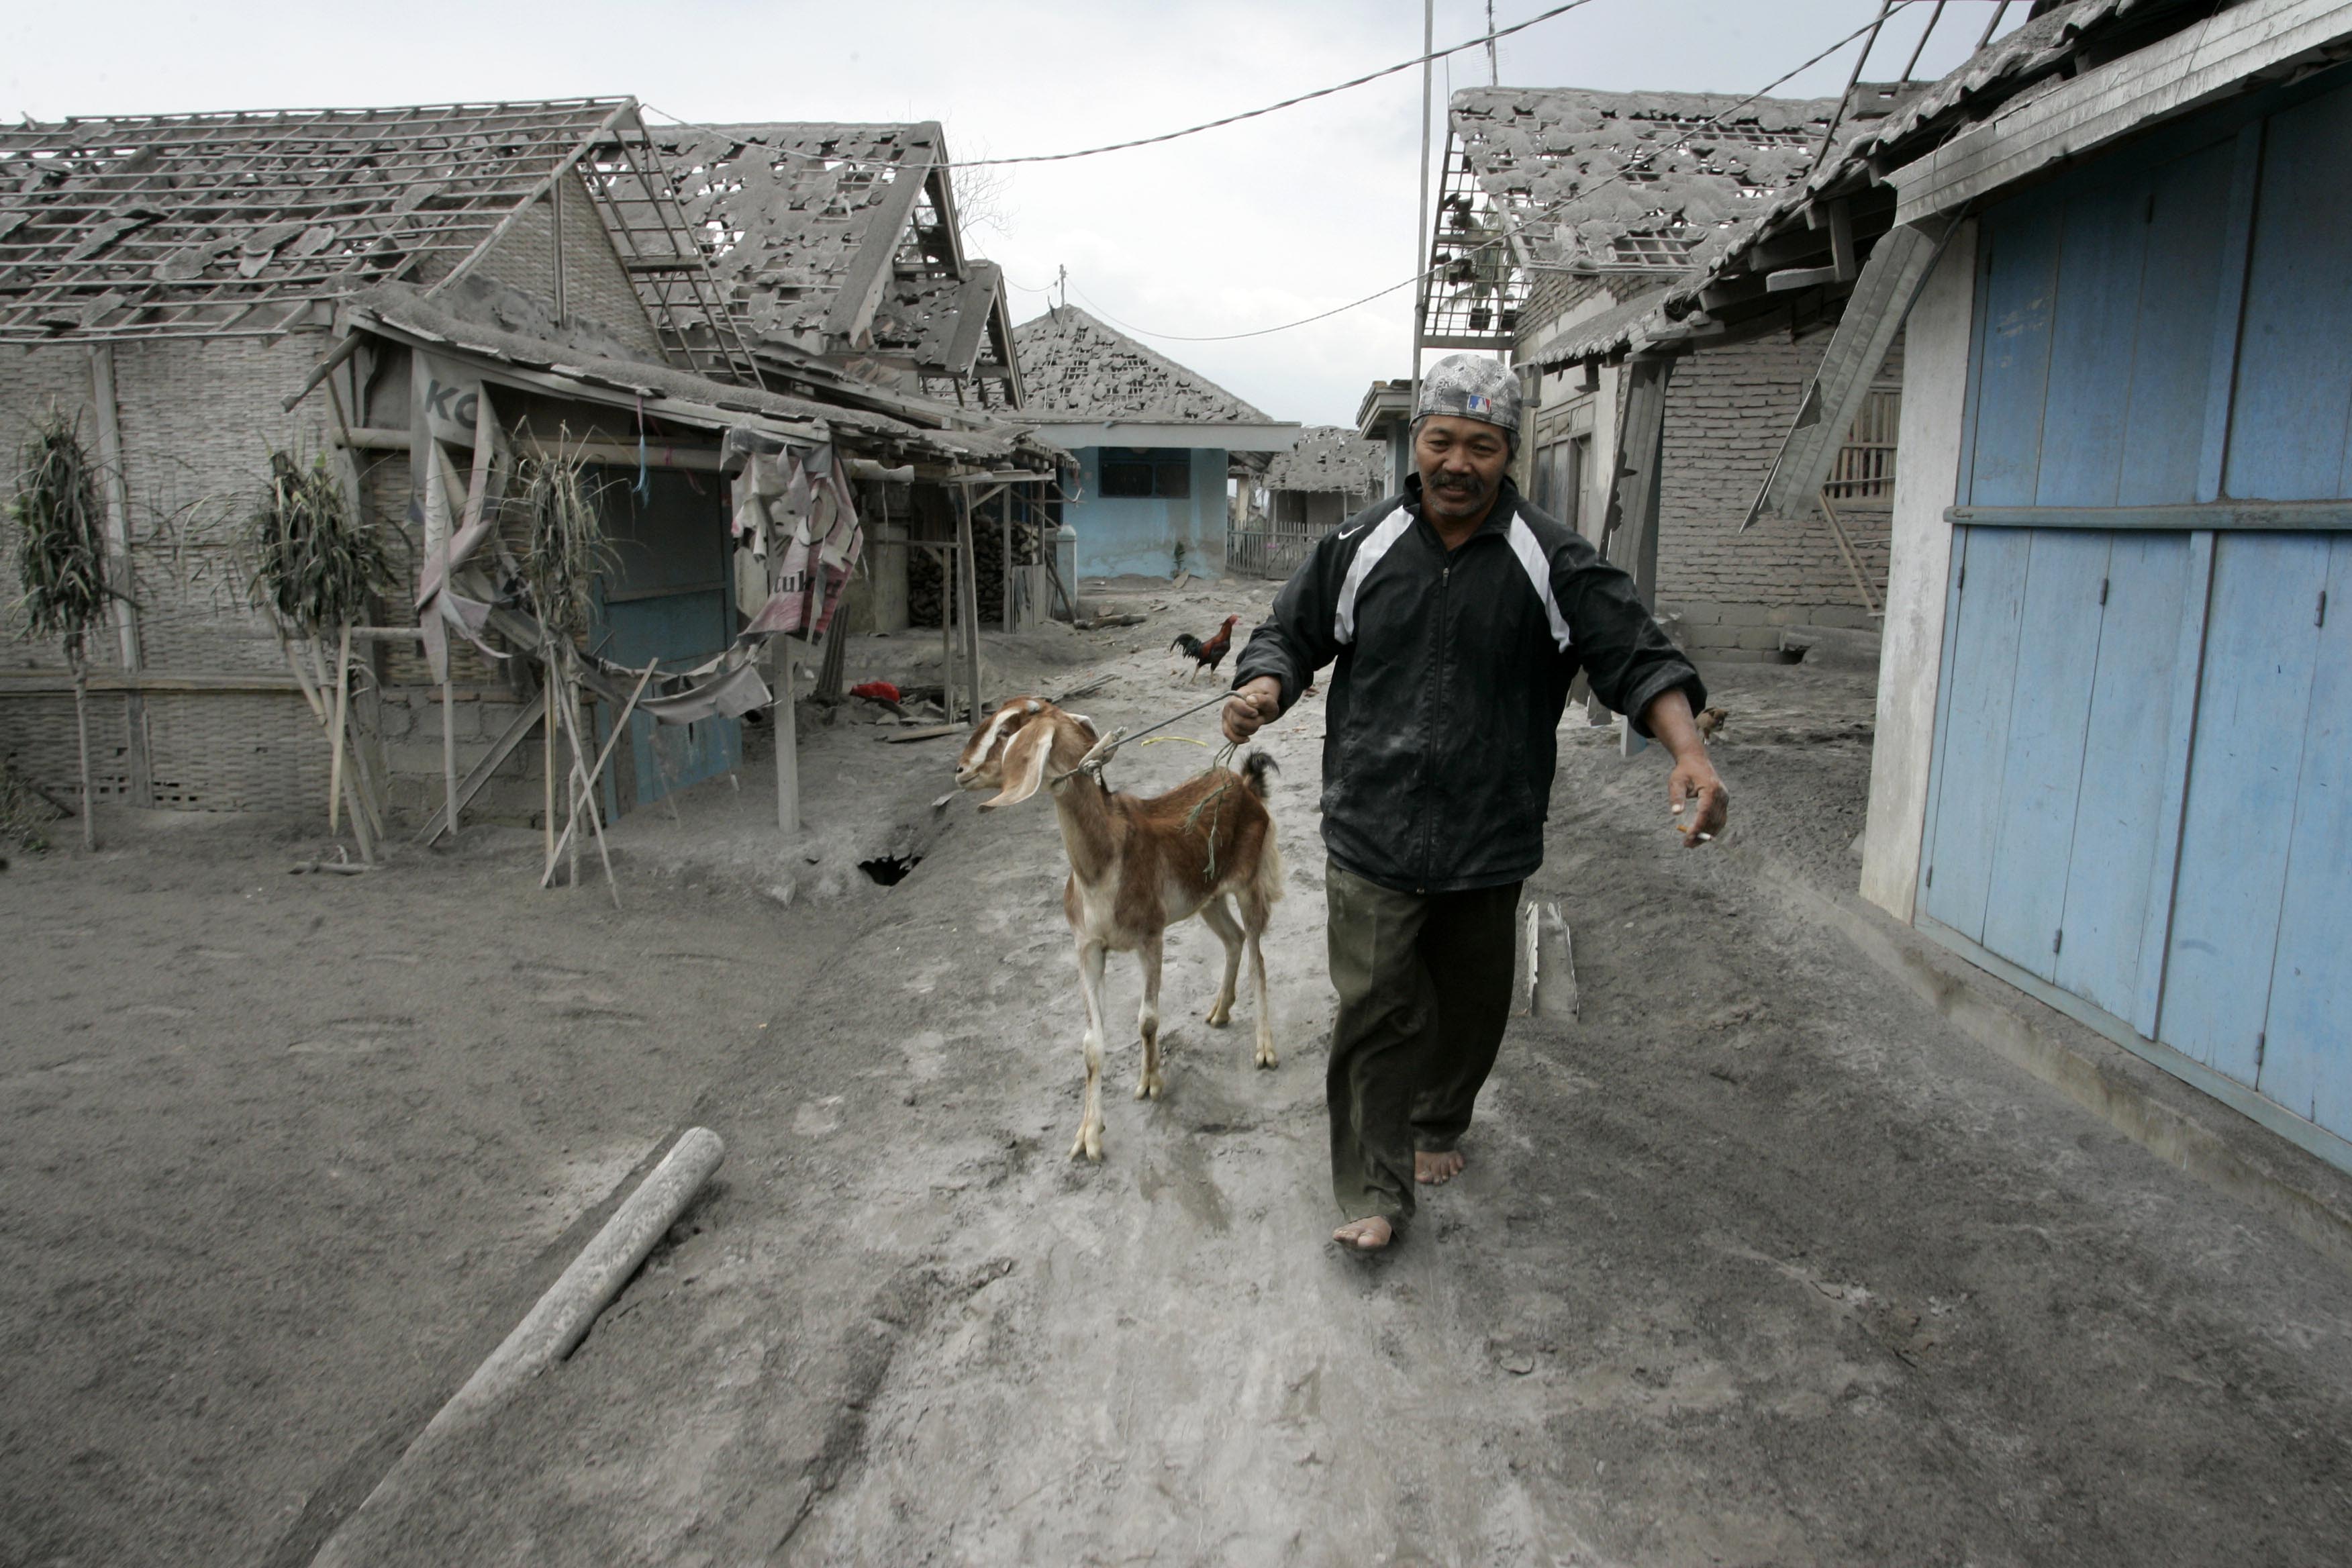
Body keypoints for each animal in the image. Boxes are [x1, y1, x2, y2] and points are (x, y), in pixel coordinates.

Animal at [950, 700, 1289, 1166]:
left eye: (1006, 730)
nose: (961, 770)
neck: (1102, 863)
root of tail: (1247, 785)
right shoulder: (1088, 947)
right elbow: (1092, 1043)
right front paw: (1088, 1136)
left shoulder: (1151, 937)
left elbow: (1147, 1019)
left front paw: (1150, 1084)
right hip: (1207, 897)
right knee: (1234, 939)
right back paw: (1219, 1012)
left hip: (1250, 882)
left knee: (1258, 954)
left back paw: (1265, 1049)